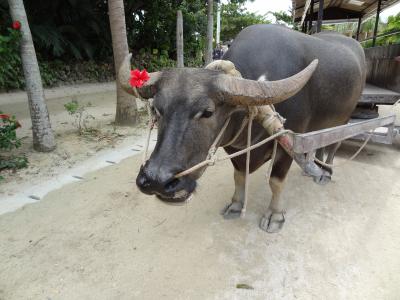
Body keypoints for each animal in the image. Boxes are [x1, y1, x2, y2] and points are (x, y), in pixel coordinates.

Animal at [117, 24, 364, 233]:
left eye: (207, 112)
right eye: (157, 110)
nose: (157, 181)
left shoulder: (288, 144)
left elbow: (276, 182)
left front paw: (274, 215)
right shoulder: (235, 148)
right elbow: (239, 176)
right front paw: (236, 205)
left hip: (343, 119)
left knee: (334, 145)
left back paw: (326, 172)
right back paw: (312, 167)